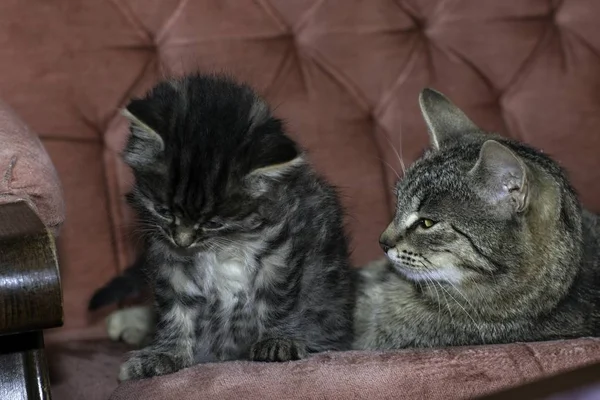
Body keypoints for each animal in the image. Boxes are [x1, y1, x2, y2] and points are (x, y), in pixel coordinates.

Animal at [115, 72, 354, 382]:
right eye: (163, 211)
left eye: (214, 222)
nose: (183, 241)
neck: (227, 242)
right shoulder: (168, 259)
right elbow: (176, 310)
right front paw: (166, 353)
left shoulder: (282, 252)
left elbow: (279, 301)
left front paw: (277, 340)